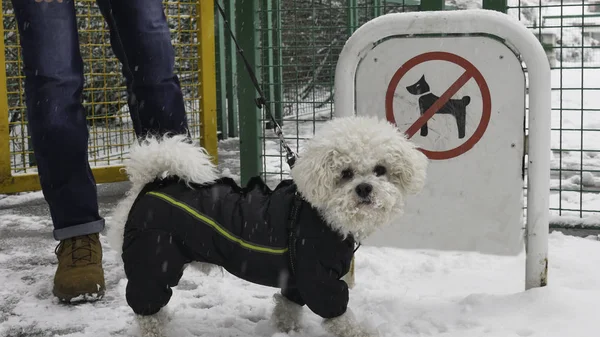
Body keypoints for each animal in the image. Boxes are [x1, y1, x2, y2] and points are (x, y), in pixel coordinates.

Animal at [106, 115, 426, 336]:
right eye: (345, 173)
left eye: (381, 170)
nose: (364, 189)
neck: (323, 214)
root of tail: (148, 185)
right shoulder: (318, 277)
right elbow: (338, 315)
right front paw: (361, 332)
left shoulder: (296, 278)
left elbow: (288, 307)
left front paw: (286, 330)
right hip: (152, 261)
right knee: (147, 309)